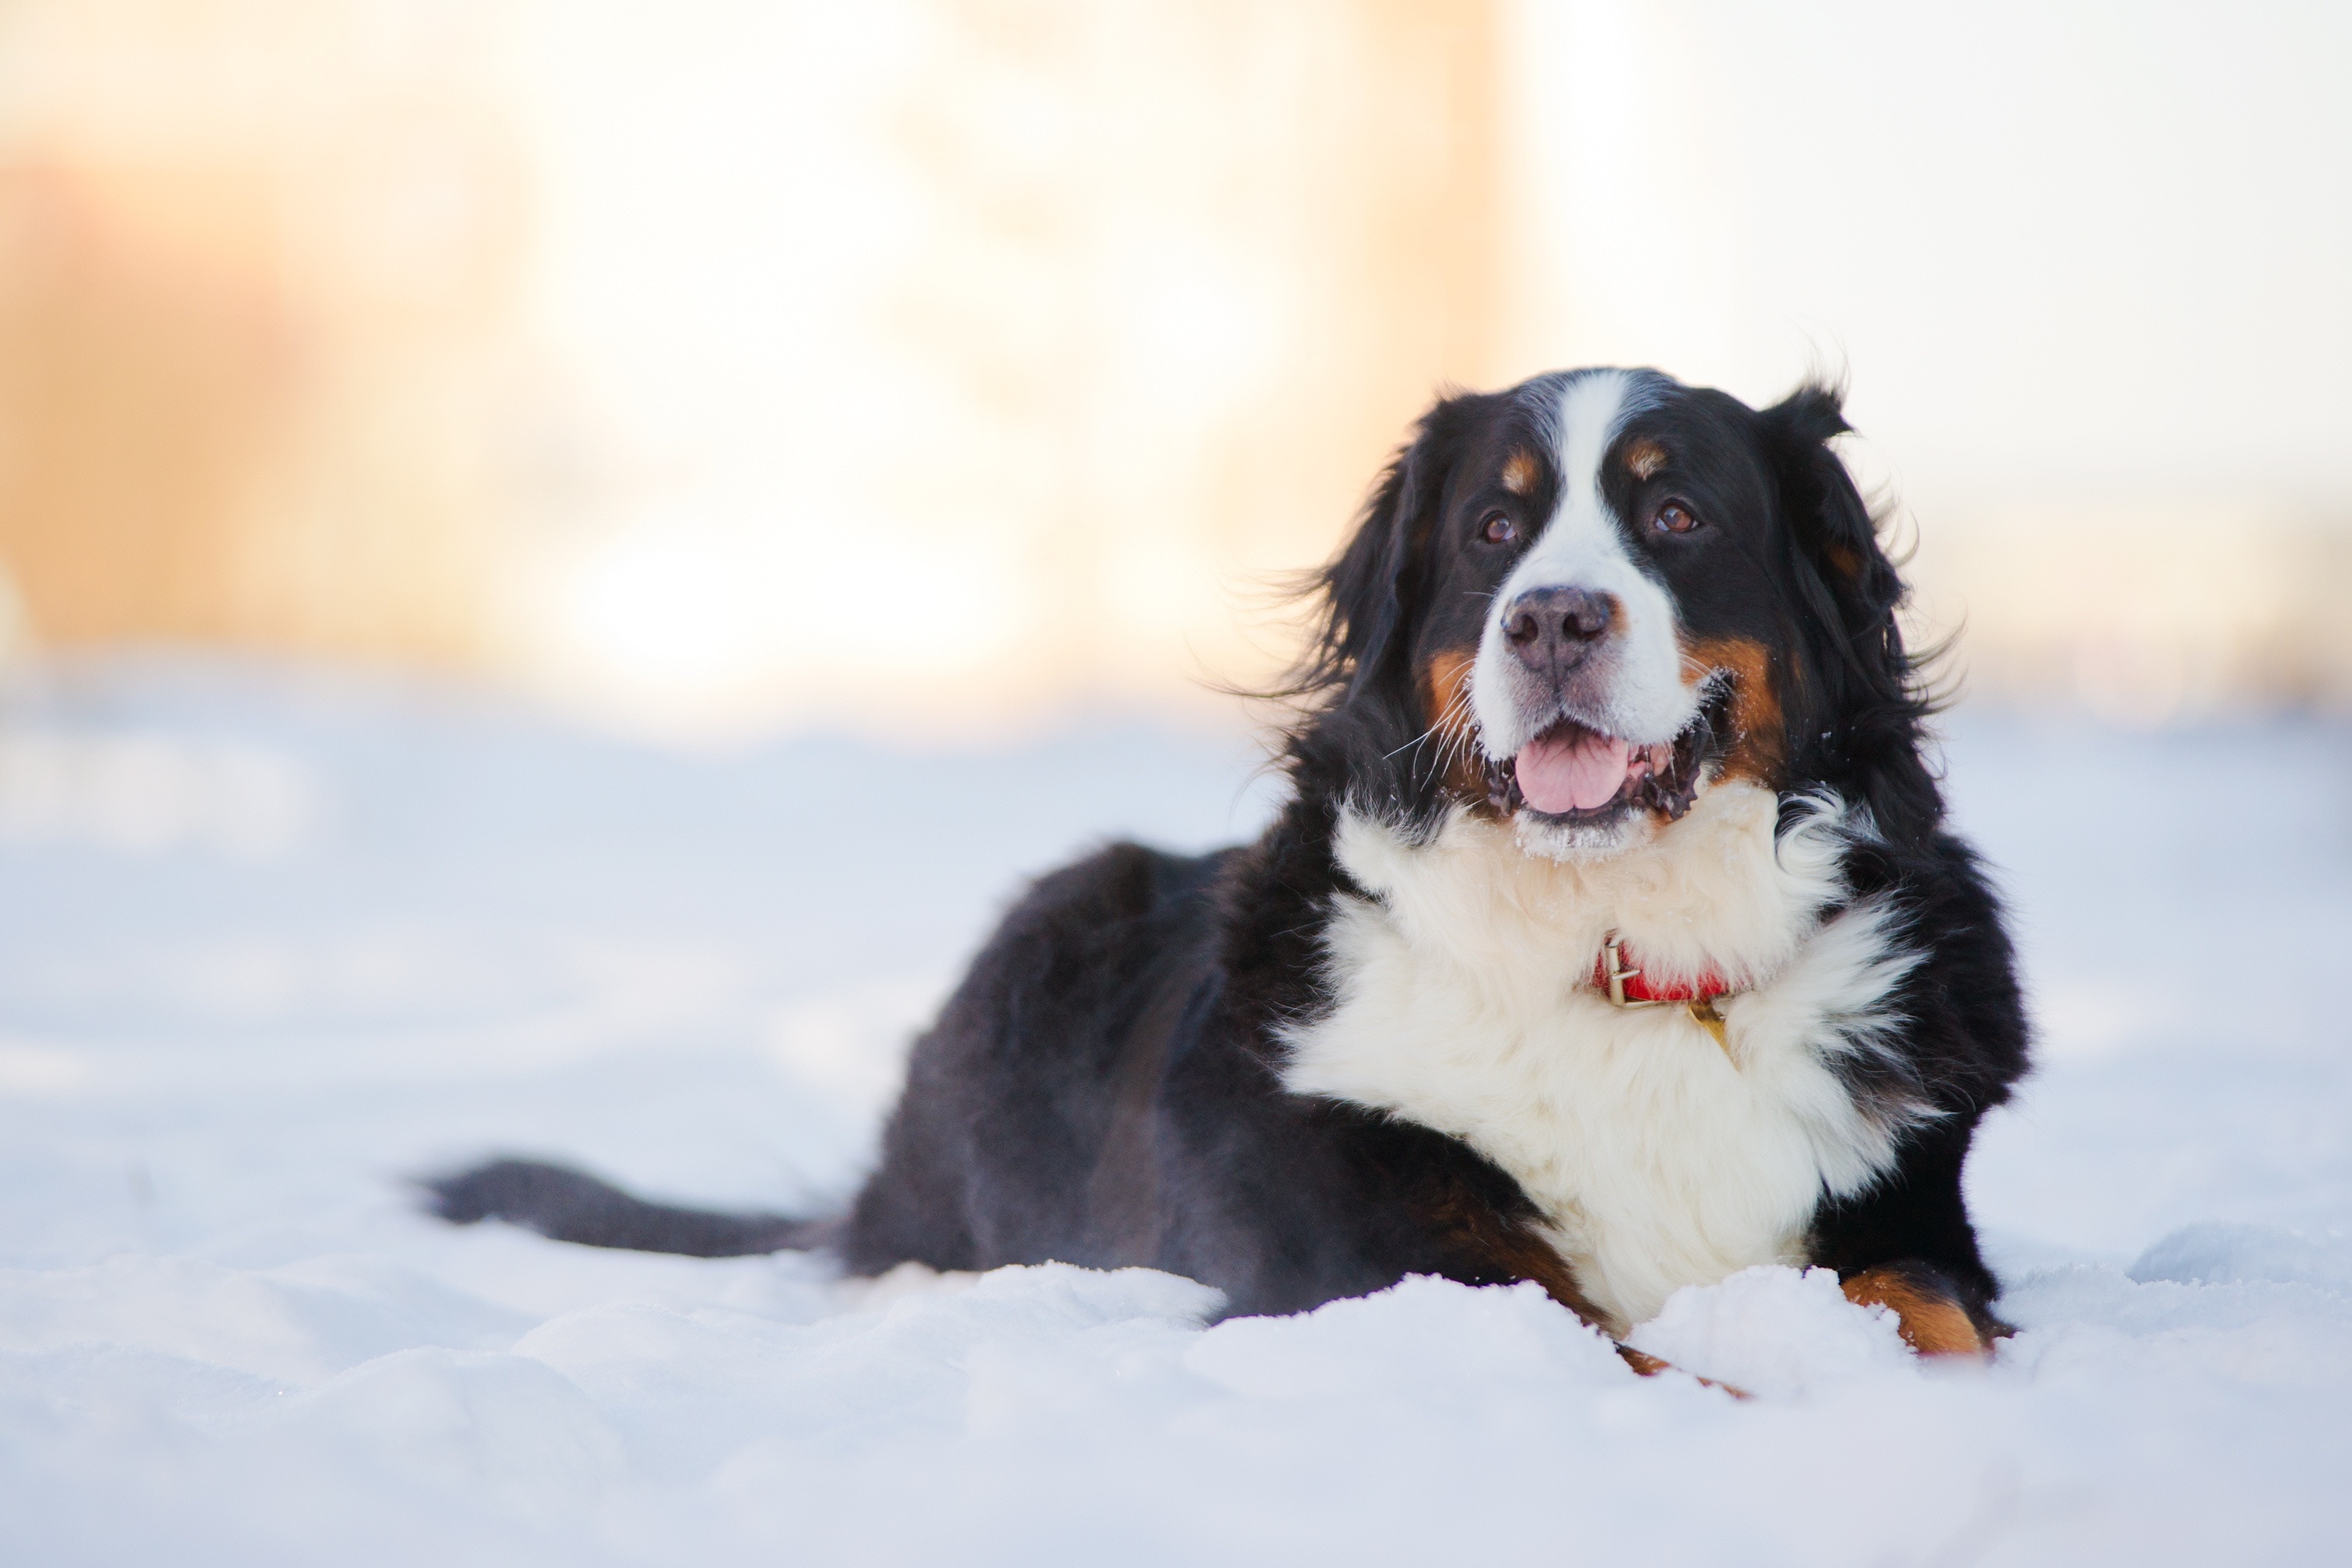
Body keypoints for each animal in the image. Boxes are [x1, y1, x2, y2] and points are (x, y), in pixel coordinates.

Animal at [432, 369, 2032, 1363]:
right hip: (1059, 912)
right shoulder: (1370, 1246)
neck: (1617, 954)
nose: (1551, 620)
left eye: (1677, 515)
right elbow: (1623, 1351)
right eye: (1493, 529)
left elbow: (1935, 1315)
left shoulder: (1904, 1211)